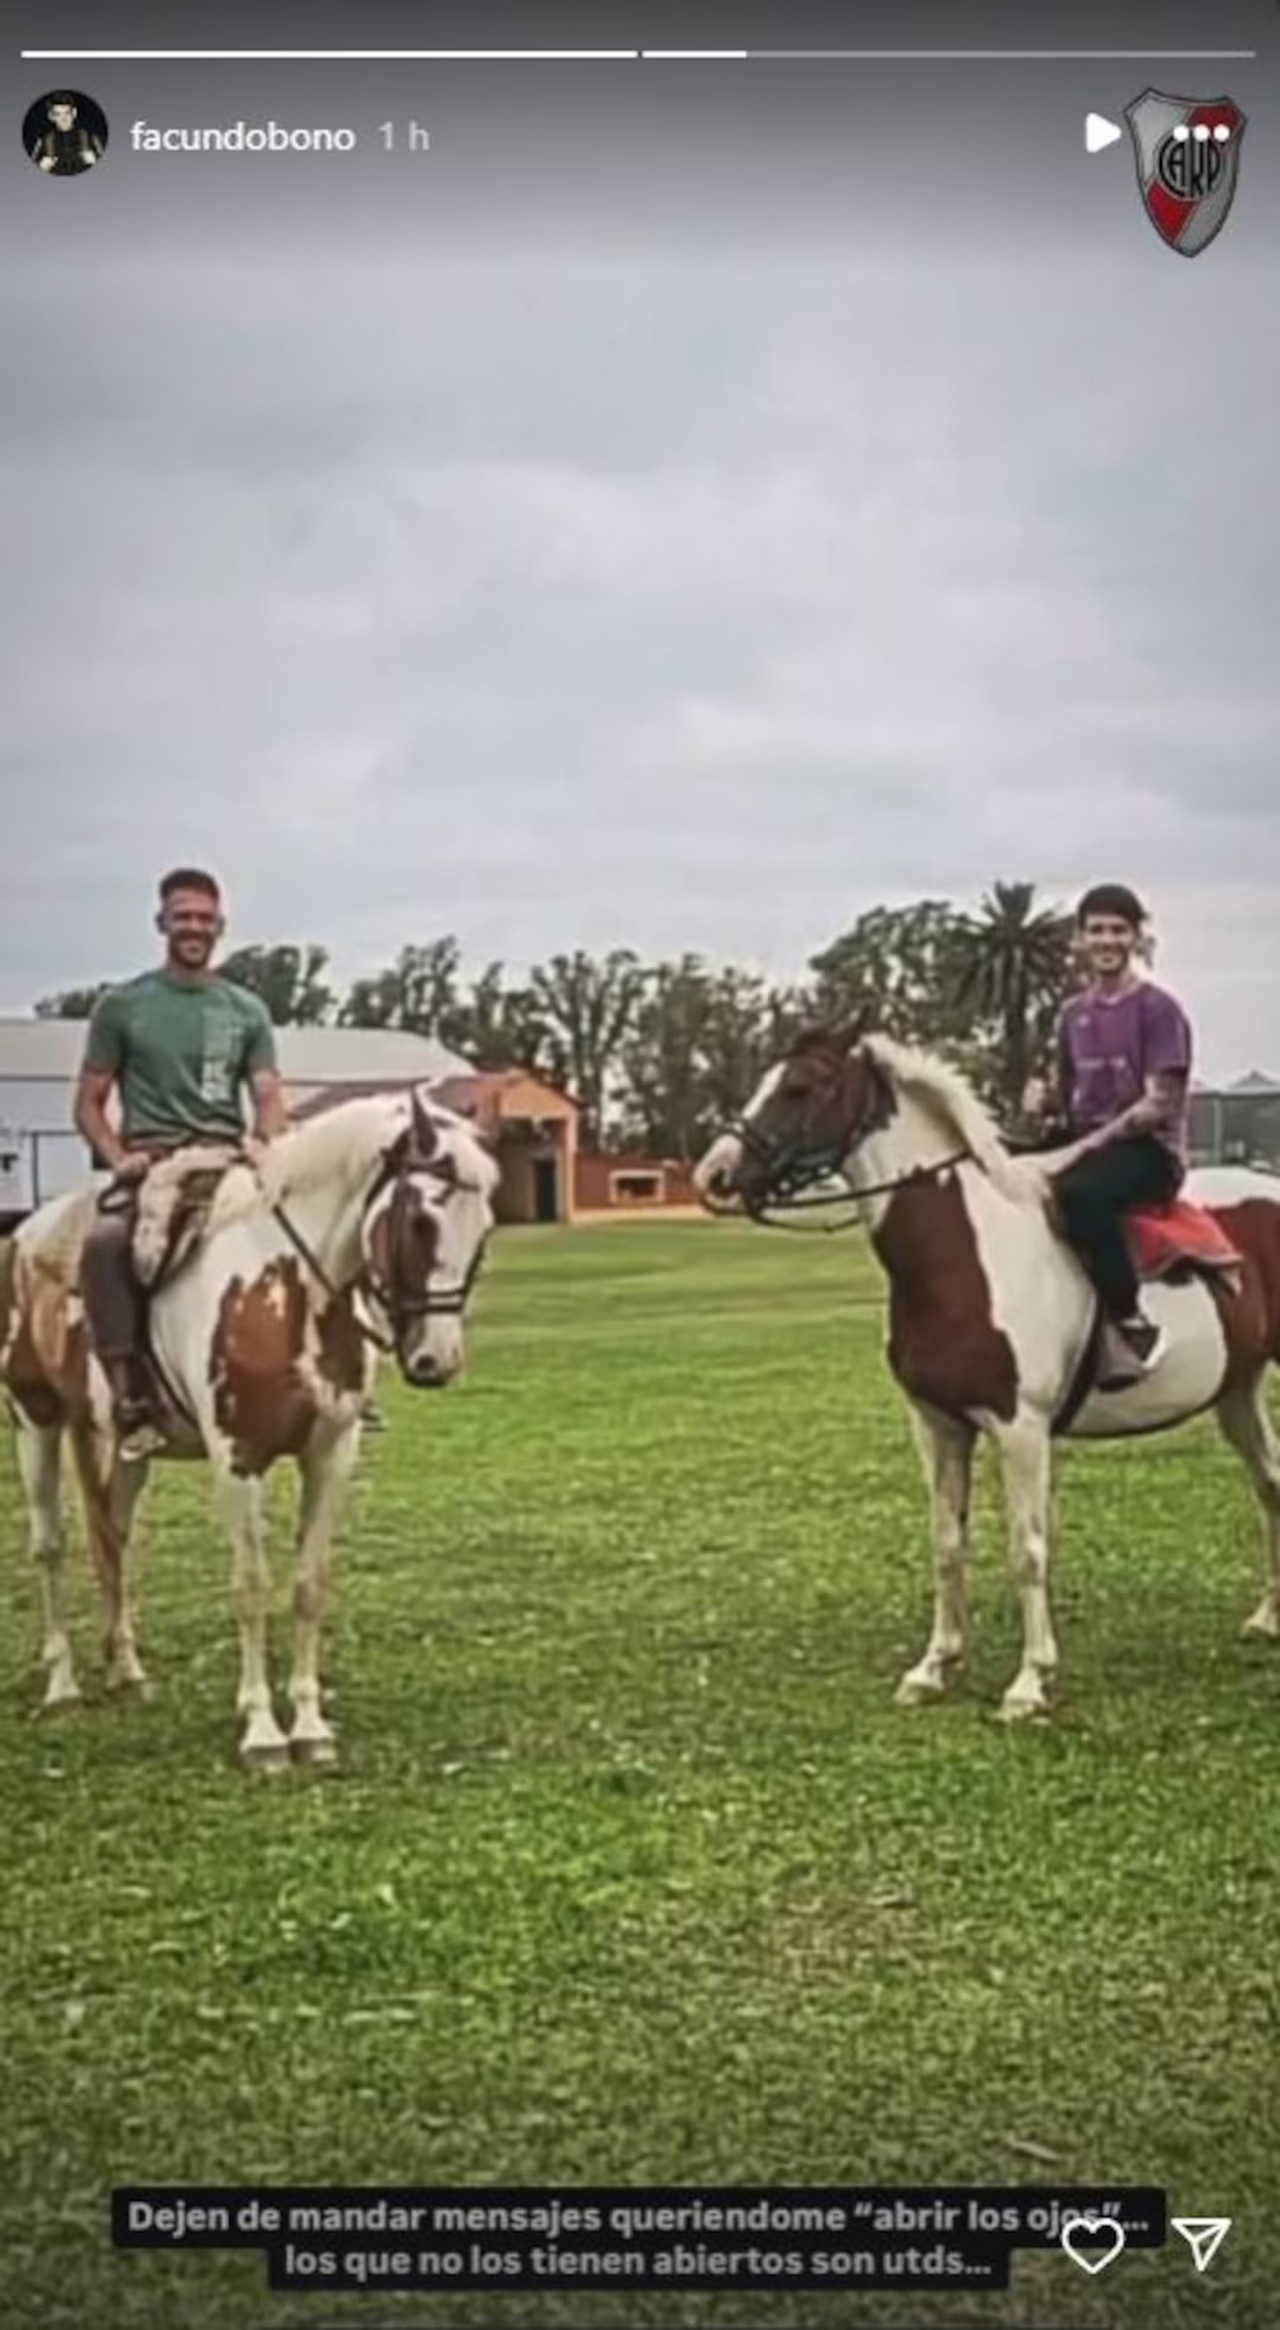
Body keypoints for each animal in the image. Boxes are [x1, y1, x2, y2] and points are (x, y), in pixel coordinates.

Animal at [1, 1090, 494, 1761]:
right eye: (420, 1221)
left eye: (484, 1228)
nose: (435, 1361)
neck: (288, 1290)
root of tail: (27, 1235)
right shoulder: (236, 1462)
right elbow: (251, 1587)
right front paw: (263, 1733)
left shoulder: (330, 1456)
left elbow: (309, 1584)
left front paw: (309, 1726)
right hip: (36, 1420)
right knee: (50, 1546)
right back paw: (63, 1684)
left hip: (128, 1451)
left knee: (113, 1541)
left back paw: (127, 1671)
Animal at [694, 1029, 1277, 1724]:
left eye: (799, 1088)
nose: (715, 1173)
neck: (963, 1259)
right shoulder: (937, 1425)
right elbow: (947, 1542)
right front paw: (934, 1667)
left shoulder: (1020, 1429)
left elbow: (1026, 1550)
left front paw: (1029, 1682)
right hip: (1237, 1390)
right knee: (1270, 1484)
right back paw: (1268, 1616)